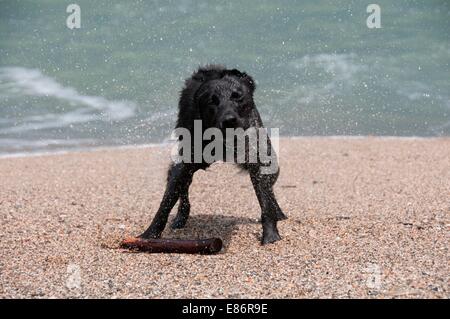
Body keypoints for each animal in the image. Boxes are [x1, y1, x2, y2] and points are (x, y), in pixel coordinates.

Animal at [139, 65, 286, 245]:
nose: (229, 120)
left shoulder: (257, 159)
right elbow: (166, 202)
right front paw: (149, 234)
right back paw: (180, 217)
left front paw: (270, 234)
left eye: (237, 96)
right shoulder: (184, 164)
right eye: (212, 101)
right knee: (182, 188)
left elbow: (265, 199)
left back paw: (278, 213)